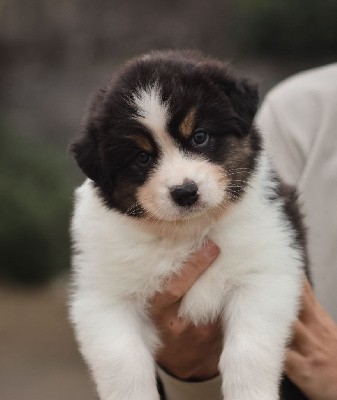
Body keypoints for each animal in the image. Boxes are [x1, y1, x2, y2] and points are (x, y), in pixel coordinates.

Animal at [69, 50, 304, 400]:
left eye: (200, 137)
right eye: (141, 157)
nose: (185, 192)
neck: (186, 232)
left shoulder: (265, 273)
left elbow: (248, 351)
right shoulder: (103, 297)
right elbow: (123, 361)